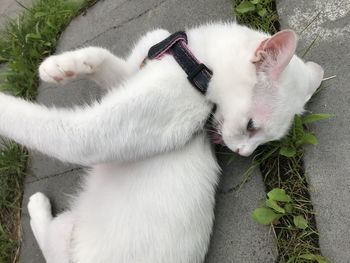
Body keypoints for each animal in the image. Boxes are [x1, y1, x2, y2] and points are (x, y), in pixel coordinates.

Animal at [0, 23, 322, 263]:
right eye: (252, 126)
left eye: (258, 136)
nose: (242, 152)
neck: (195, 61)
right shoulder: (134, 71)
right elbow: (104, 58)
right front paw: (62, 65)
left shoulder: (92, 135)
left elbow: (46, 126)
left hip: (65, 229)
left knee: (50, 241)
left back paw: (37, 207)